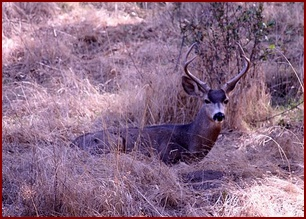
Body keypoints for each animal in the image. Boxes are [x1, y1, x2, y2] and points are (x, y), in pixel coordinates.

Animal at [71, 42, 251, 164]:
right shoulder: (168, 152)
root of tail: (72, 144)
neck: (191, 138)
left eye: (226, 100)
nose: (219, 115)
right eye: (206, 100)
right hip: (114, 141)